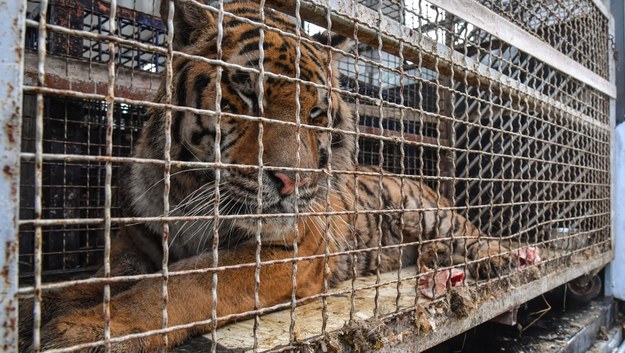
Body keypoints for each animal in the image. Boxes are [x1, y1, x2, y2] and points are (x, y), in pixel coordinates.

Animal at [20, 1, 512, 350]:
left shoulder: (292, 248)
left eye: (315, 113)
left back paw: (503, 258)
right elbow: (108, 273)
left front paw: (85, 331)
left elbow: (185, 282)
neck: (189, 192)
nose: (292, 182)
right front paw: (40, 308)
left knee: (474, 235)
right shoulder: (141, 234)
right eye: (246, 93)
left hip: (429, 212)